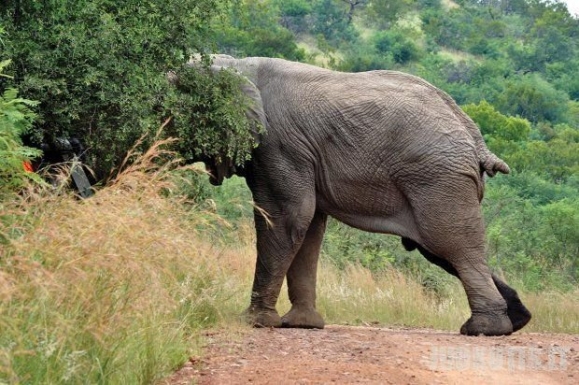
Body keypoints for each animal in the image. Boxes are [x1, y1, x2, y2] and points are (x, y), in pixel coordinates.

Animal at [180, 54, 532, 336]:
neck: (236, 64)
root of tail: (472, 132)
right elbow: (309, 227)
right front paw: (302, 325)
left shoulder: (278, 146)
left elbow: (286, 217)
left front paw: (255, 322)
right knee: (443, 250)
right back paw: (517, 320)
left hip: (437, 180)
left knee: (450, 243)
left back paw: (485, 329)